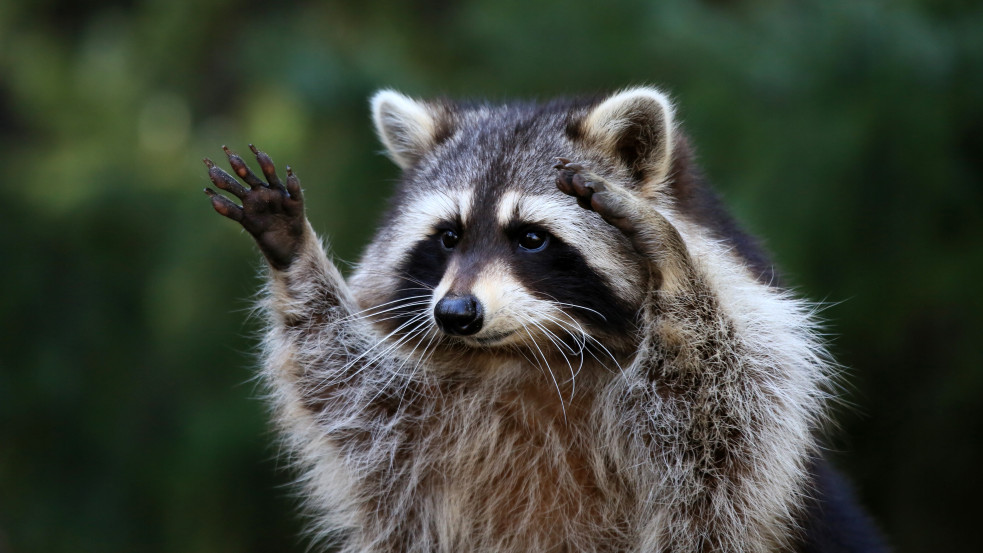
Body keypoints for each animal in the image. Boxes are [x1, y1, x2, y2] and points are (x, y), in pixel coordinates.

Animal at [204, 86, 888, 552]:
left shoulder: (748, 407)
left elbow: (729, 419)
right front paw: (296, 255)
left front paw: (673, 267)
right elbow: (346, 386)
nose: (456, 314)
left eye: (531, 238)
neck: (533, 354)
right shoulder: (412, 422)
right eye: (448, 237)